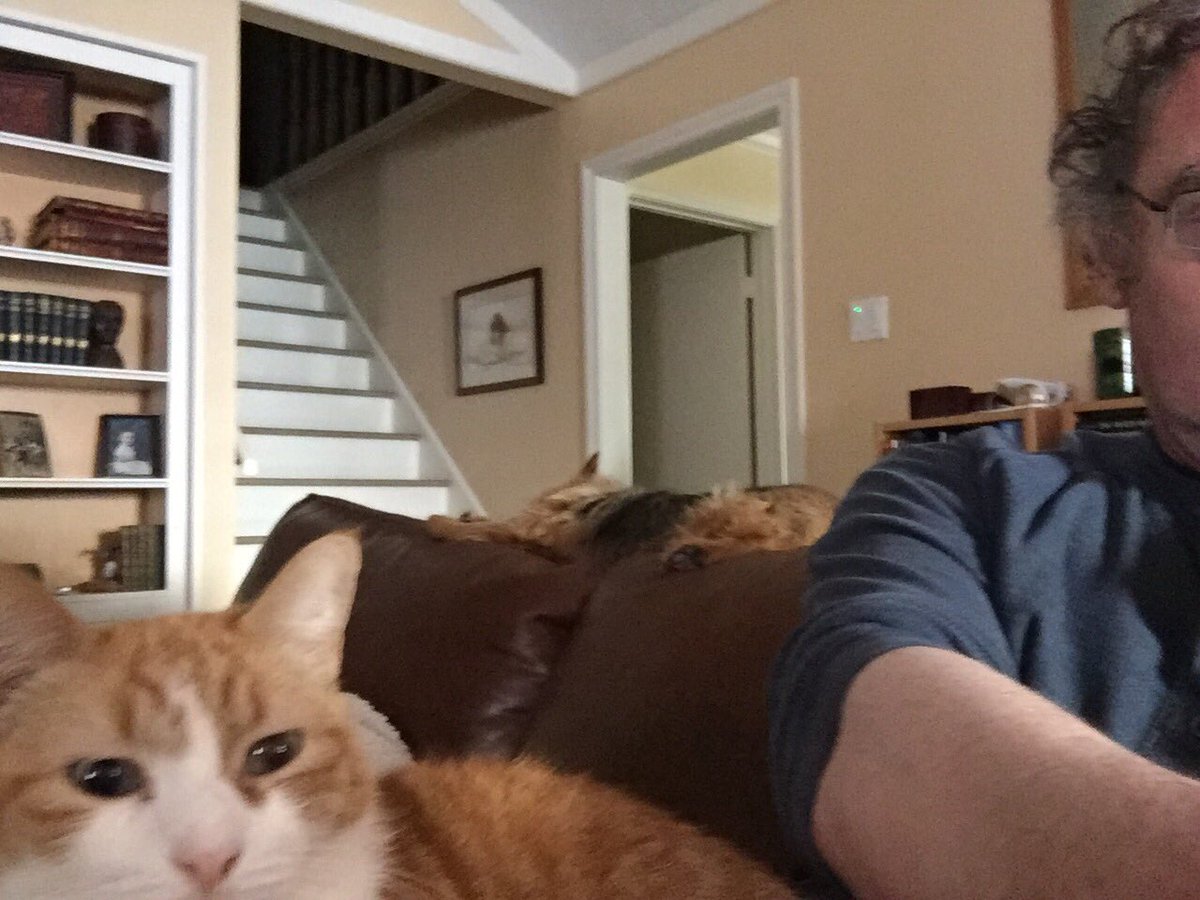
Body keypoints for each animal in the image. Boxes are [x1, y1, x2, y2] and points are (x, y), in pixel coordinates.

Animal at [425, 454, 838, 570]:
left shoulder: (530, 533)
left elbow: (495, 528)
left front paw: (441, 521)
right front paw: (467, 516)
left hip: (721, 502)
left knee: (767, 538)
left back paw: (693, 553)